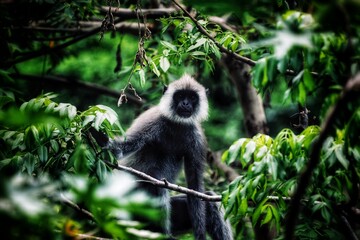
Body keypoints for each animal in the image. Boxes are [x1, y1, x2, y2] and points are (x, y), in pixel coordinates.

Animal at [105, 74, 232, 239]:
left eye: (192, 97)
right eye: (180, 96)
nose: (185, 103)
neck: (177, 125)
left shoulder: (196, 137)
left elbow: (195, 187)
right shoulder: (152, 120)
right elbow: (123, 147)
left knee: (210, 199)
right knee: (158, 184)